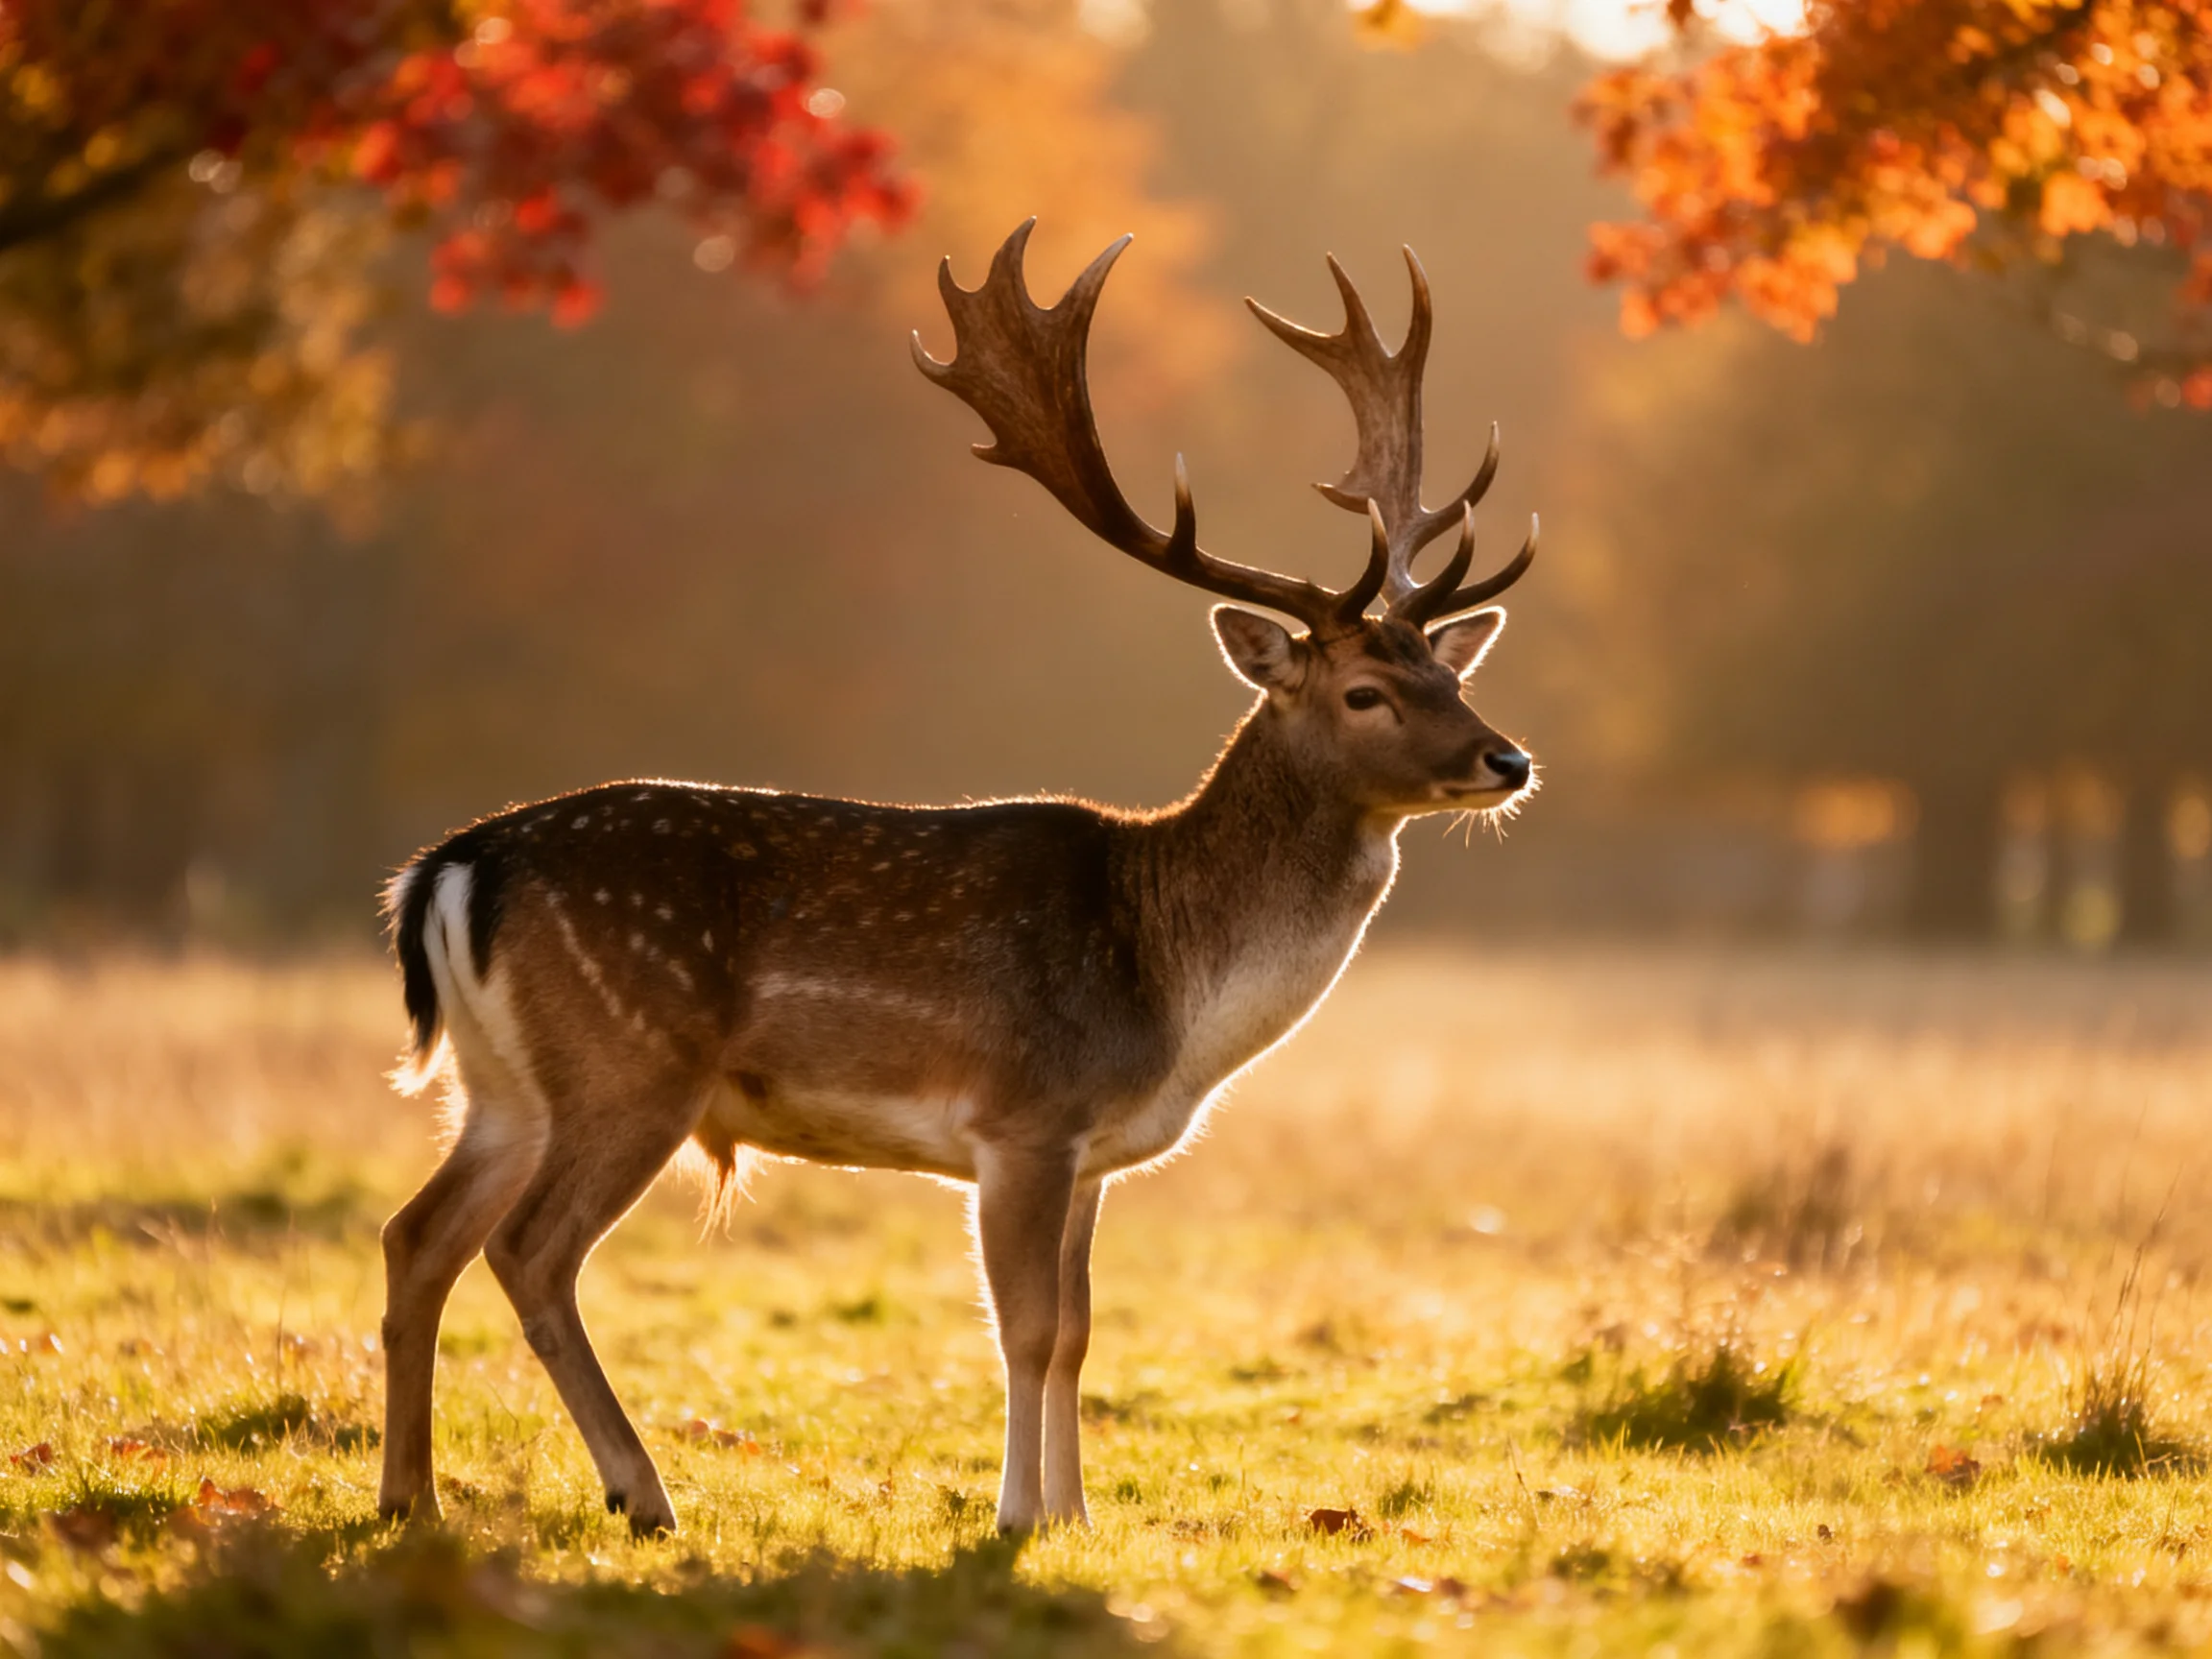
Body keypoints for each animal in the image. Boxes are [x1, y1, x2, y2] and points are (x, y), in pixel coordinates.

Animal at [374, 219, 1537, 1539]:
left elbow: (1078, 1332)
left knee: (416, 1235)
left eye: (1450, 675)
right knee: (529, 1251)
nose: (1508, 760)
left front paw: (1076, 1515)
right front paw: (1018, 1517)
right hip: (631, 1063)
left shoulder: (1091, 1152)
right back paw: (642, 1492)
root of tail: (449, 868)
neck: (1171, 990)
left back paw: (410, 1499)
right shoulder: (1023, 1118)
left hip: (503, 1084)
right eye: (1365, 692)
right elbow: (1023, 1330)